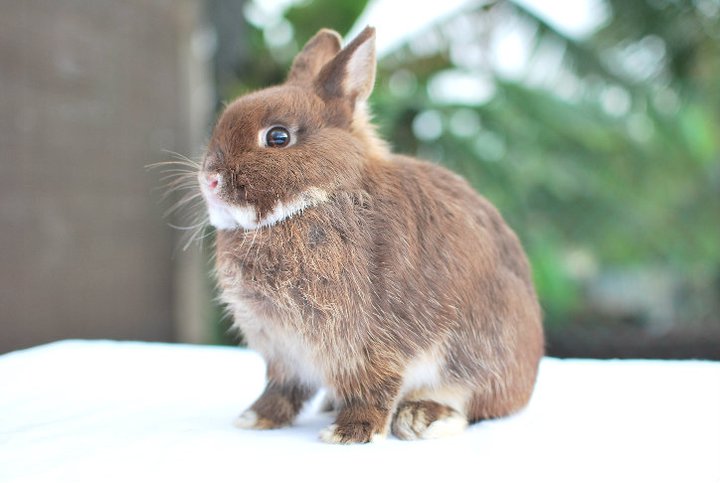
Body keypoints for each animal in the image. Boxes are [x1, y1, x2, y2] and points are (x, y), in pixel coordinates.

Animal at [194, 25, 544, 442]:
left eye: (278, 137)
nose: (210, 179)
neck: (320, 197)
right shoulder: (284, 353)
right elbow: (282, 388)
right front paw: (255, 418)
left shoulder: (373, 341)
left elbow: (374, 386)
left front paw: (349, 433)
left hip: (477, 351)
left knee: (473, 401)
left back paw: (422, 418)